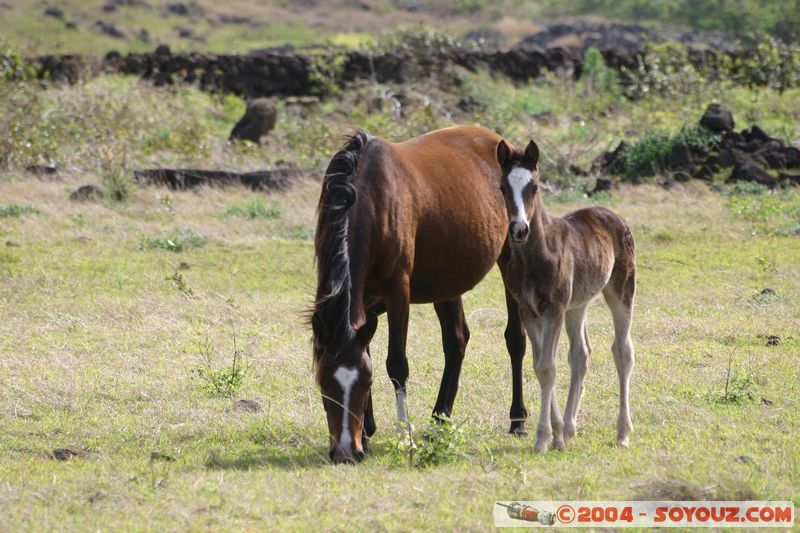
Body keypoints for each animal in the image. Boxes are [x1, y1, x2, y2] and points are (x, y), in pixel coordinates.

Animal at [311, 126, 530, 464]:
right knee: (456, 341)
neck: (370, 197)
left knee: (515, 339)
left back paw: (517, 420)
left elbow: (396, 364)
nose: (346, 452)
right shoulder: (362, 302)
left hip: (510, 257)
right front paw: (369, 434)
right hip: (448, 281)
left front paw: (404, 437)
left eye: (365, 383)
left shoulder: (397, 292)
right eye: (324, 384)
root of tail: (494, 138)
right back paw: (440, 420)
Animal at [495, 137, 636, 453]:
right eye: (502, 187)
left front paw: (543, 438)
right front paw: (557, 434)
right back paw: (571, 428)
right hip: (578, 305)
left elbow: (548, 367)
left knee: (622, 352)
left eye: (534, 186)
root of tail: (612, 215)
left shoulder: (554, 308)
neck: (535, 254)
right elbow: (539, 365)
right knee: (581, 354)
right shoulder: (529, 310)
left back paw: (623, 432)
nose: (519, 229)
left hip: (621, 290)